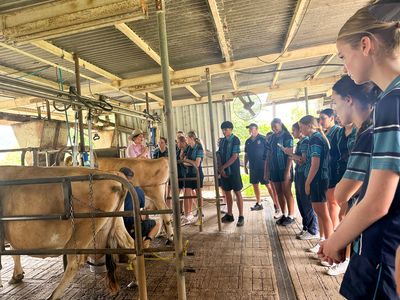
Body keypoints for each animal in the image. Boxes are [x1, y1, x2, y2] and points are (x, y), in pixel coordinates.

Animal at [0, 166, 138, 300]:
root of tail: (113, 173)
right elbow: (14, 252)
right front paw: (17, 275)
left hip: (83, 231)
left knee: (74, 262)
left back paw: (53, 296)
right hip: (116, 224)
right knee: (131, 246)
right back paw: (136, 282)